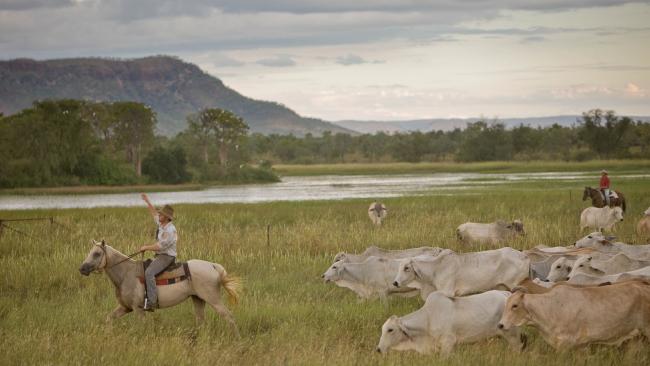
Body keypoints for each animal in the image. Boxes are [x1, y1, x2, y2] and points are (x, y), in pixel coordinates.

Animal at [79, 239, 240, 336]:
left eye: (97, 254)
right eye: (89, 252)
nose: (82, 269)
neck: (127, 273)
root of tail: (212, 266)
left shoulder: (138, 308)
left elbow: (141, 327)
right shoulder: (125, 307)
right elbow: (108, 318)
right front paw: (108, 333)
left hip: (213, 299)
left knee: (229, 317)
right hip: (198, 299)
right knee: (201, 320)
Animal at [374, 290, 520, 354]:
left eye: (390, 329)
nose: (379, 349)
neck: (428, 319)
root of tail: (507, 294)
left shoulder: (448, 343)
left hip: (512, 335)